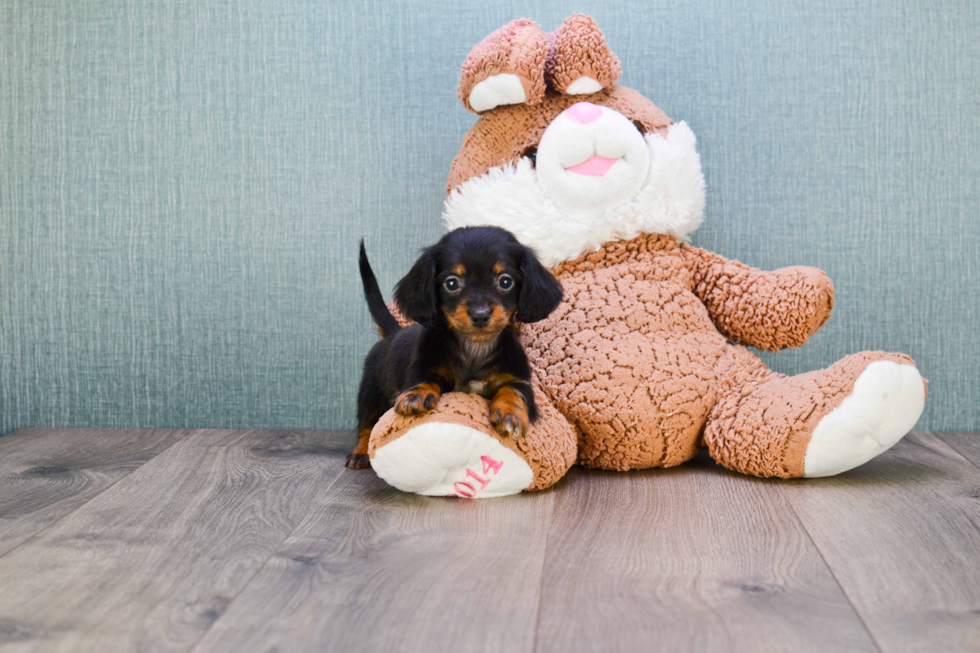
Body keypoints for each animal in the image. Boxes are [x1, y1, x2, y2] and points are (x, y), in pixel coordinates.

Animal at [346, 225, 564, 468]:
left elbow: (512, 390)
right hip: (370, 394)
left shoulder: (519, 380)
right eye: (451, 283)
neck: (474, 349)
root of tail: (393, 332)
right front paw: (417, 395)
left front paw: (510, 413)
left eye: (505, 281)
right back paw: (360, 453)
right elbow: (424, 380)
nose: (480, 315)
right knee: (366, 426)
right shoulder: (422, 368)